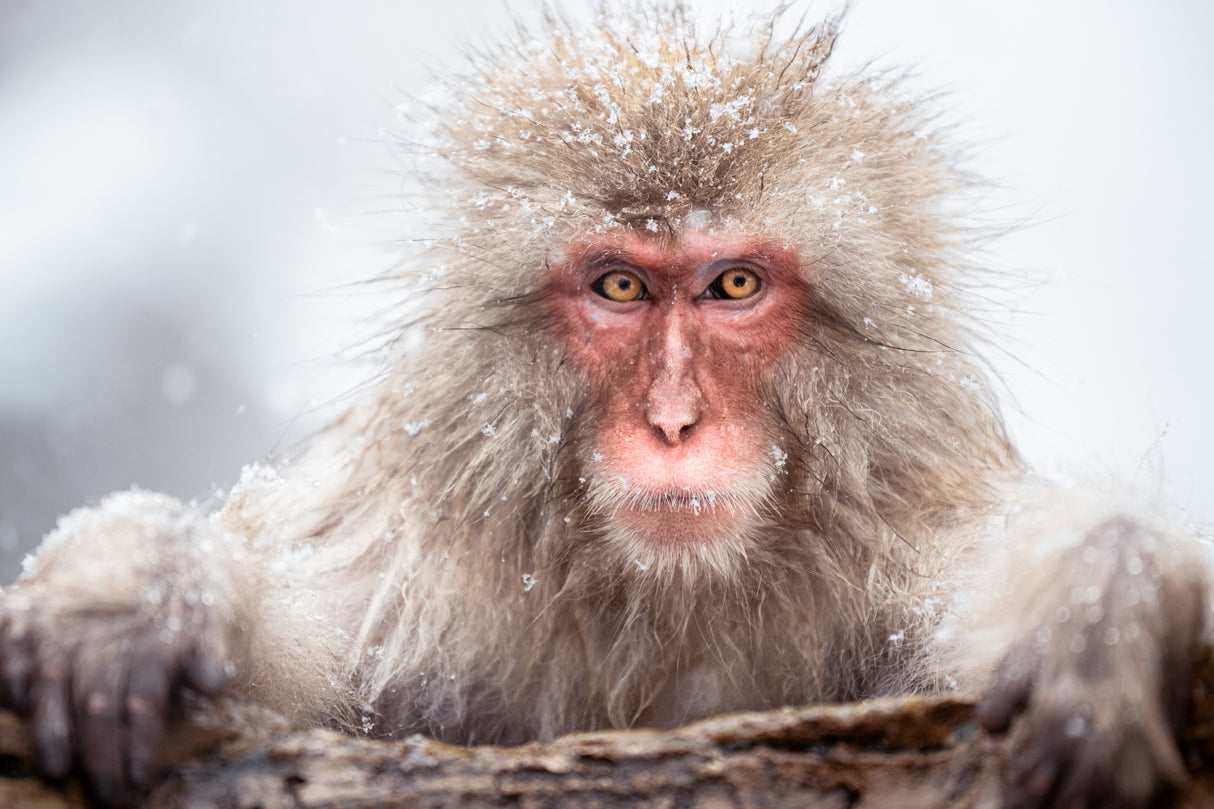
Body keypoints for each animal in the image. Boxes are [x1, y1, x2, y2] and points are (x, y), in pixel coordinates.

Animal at [0, 6, 1207, 808]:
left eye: (732, 285)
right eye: (621, 287)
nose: (673, 422)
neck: (669, 601)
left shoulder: (897, 553)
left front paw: (1101, 594)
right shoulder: (424, 583)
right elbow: (299, 682)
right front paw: (137, 584)